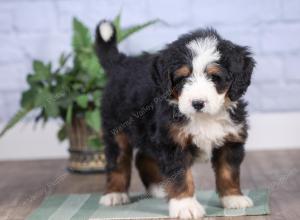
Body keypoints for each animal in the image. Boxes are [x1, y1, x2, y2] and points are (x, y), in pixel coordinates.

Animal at [95, 19, 255, 219]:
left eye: (214, 77)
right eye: (183, 78)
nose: (198, 103)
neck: (203, 118)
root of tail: (121, 63)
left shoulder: (230, 140)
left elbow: (228, 171)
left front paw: (233, 198)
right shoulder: (173, 142)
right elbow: (181, 177)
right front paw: (185, 206)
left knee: (143, 156)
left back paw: (157, 187)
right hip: (116, 128)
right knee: (118, 161)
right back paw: (115, 194)